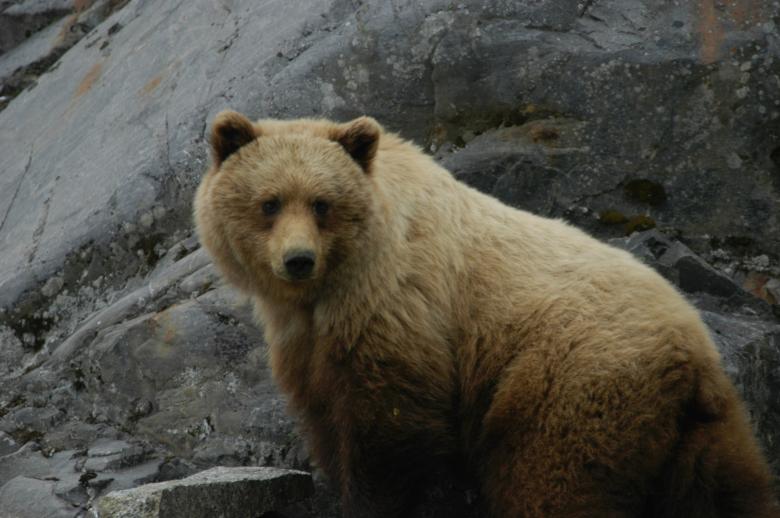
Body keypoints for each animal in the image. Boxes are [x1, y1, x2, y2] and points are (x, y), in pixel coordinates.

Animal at [194, 110, 778, 518]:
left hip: (568, 385)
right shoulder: (307, 342)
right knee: (730, 491)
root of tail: (691, 354)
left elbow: (387, 434)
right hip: (703, 432)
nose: (298, 259)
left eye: (321, 203)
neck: (330, 288)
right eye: (269, 202)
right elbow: (325, 416)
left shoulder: (399, 311)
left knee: (551, 484)